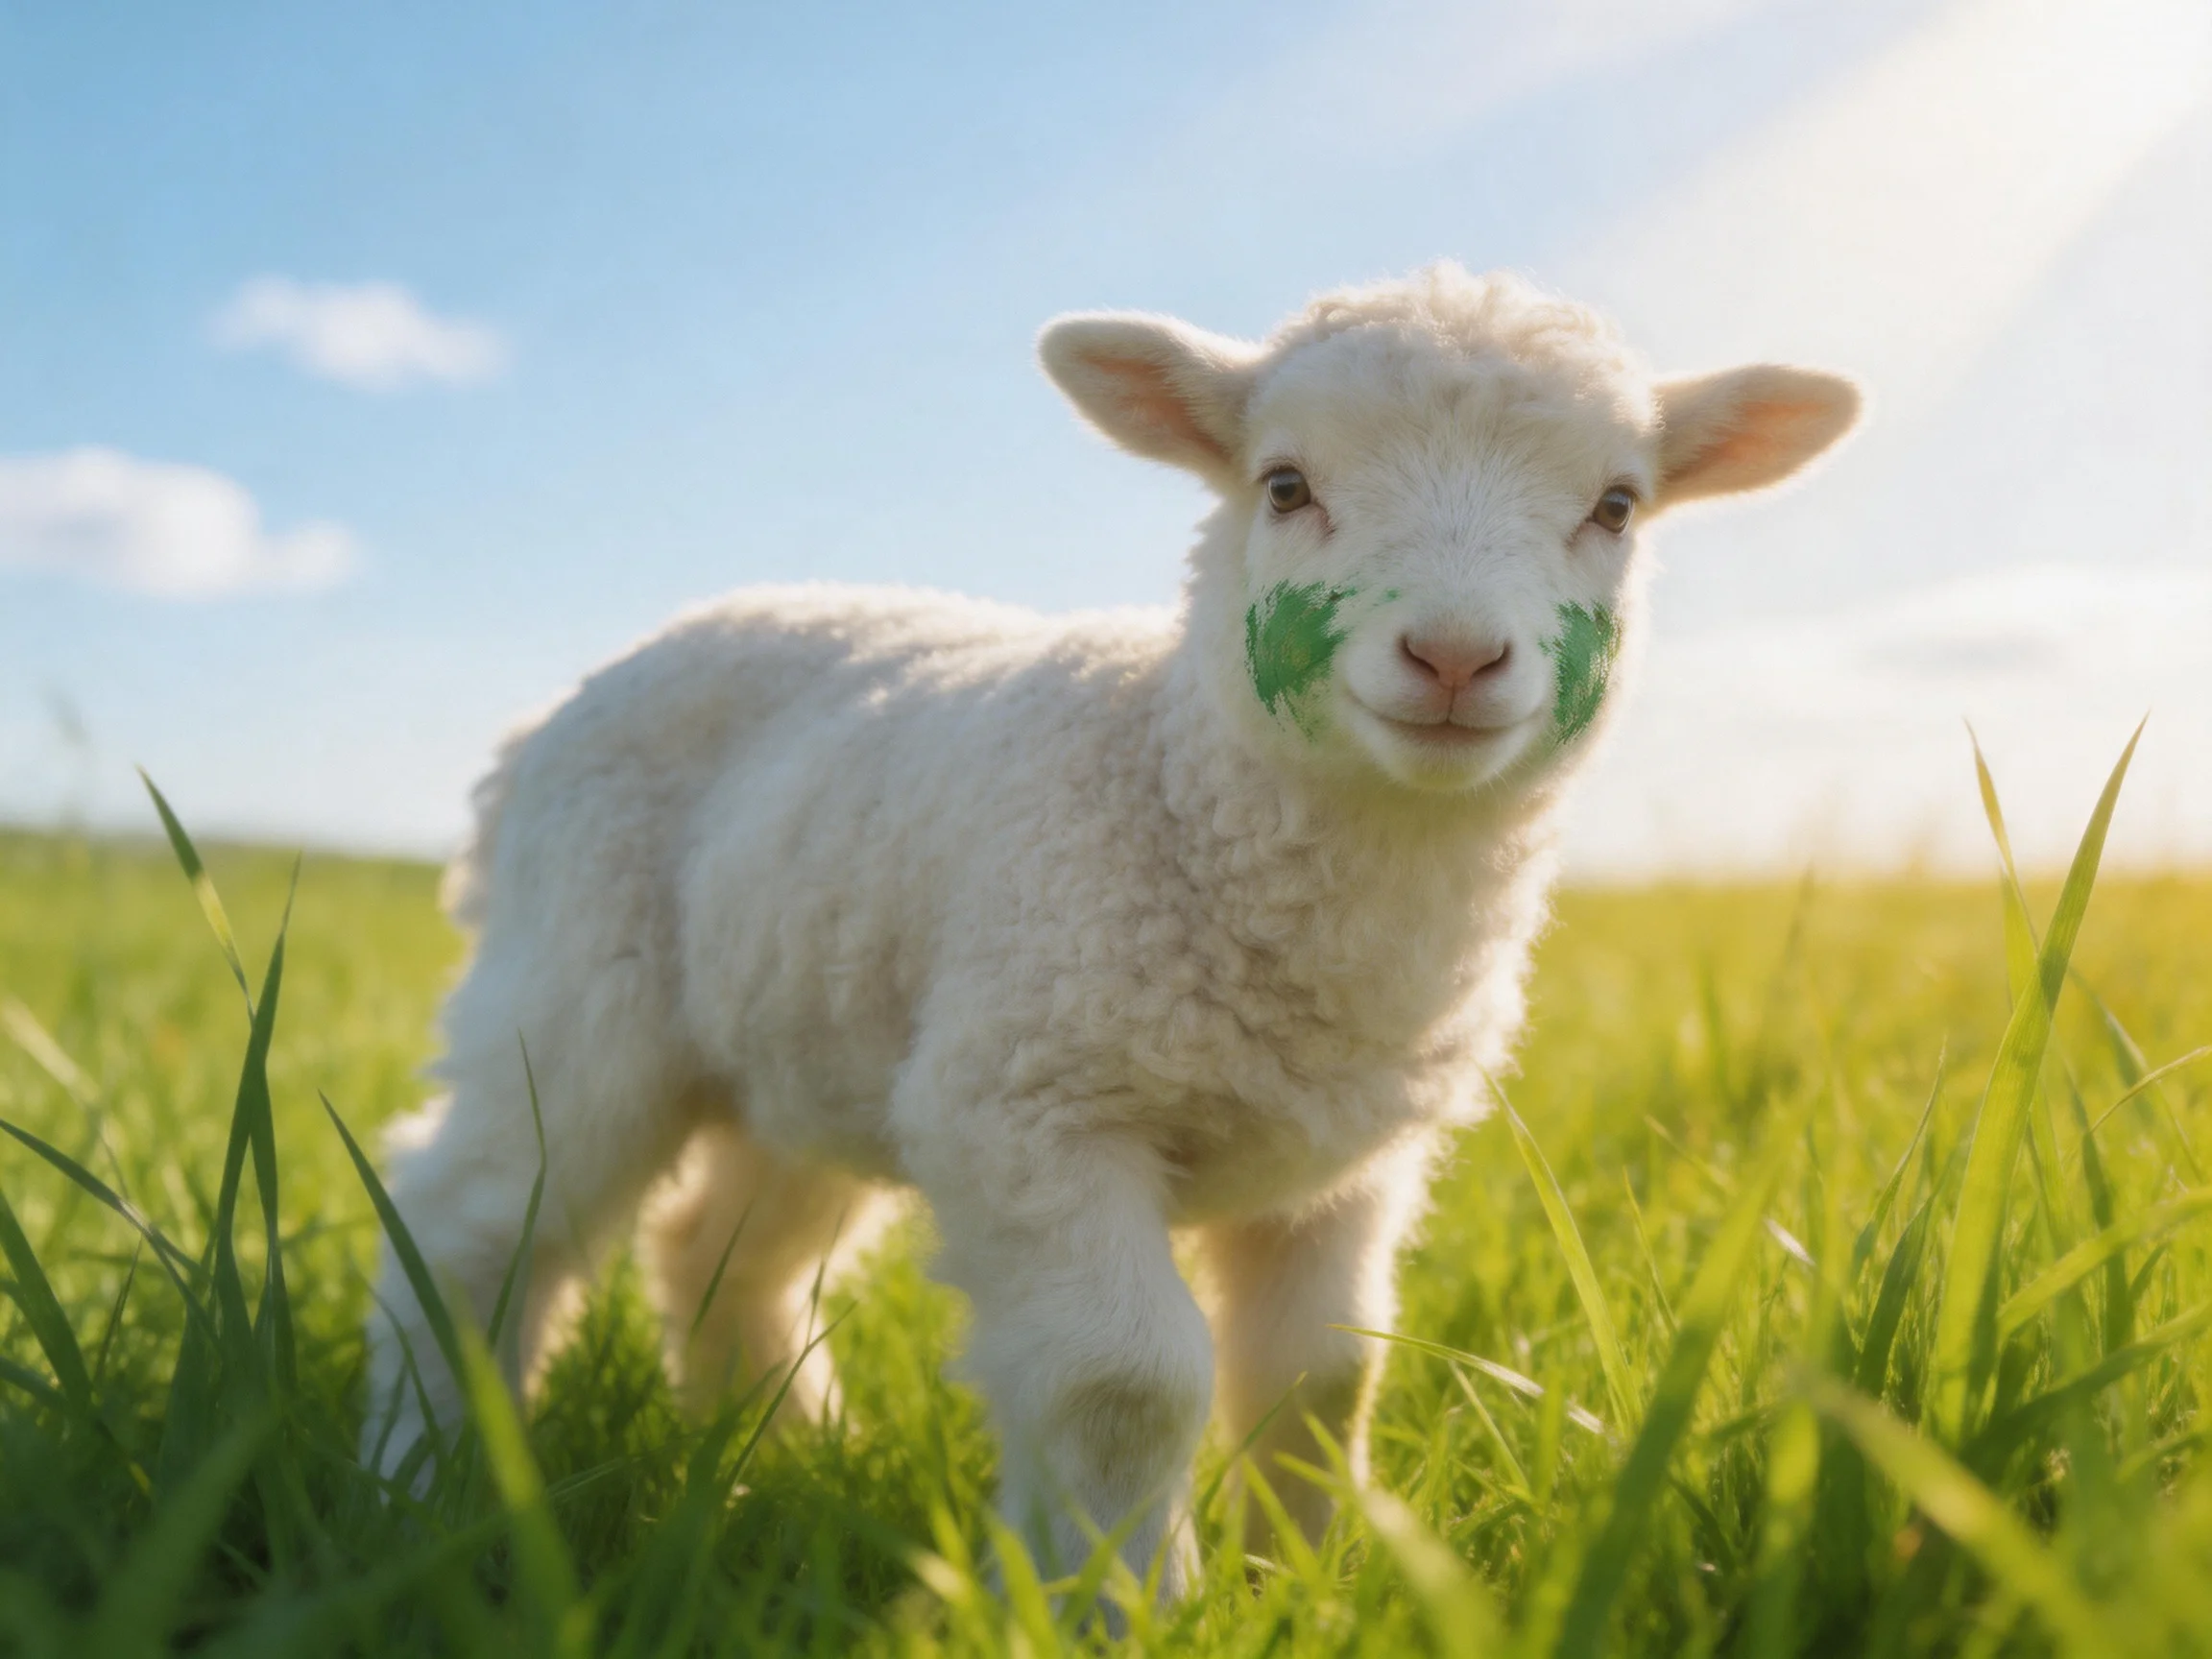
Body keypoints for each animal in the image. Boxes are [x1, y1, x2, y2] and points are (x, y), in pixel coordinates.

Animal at [362, 262, 1858, 1598]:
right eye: (1285, 485)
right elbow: (1127, 1381)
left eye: (1617, 506)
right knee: (468, 1223)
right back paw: (419, 1483)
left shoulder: (1345, 1166)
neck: (1179, 789)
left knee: (721, 1255)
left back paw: (784, 1461)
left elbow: (1323, 1378)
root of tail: (553, 714)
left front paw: (1303, 1583)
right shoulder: (1034, 1113)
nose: (1452, 658)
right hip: (579, 993)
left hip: (820, 1045)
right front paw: (1124, 1601)